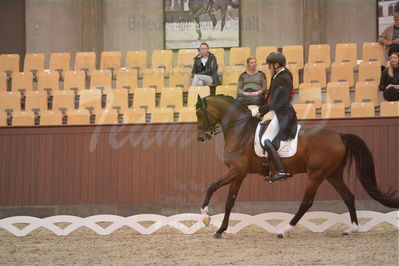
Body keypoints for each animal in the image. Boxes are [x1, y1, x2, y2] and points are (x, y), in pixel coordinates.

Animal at [197, 95, 399, 239]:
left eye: (199, 114)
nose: (200, 138)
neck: (241, 131)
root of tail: (339, 136)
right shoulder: (239, 174)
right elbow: (229, 202)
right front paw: (220, 230)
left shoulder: (236, 171)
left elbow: (211, 186)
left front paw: (205, 216)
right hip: (333, 174)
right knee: (348, 197)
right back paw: (352, 230)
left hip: (316, 174)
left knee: (306, 202)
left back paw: (284, 230)